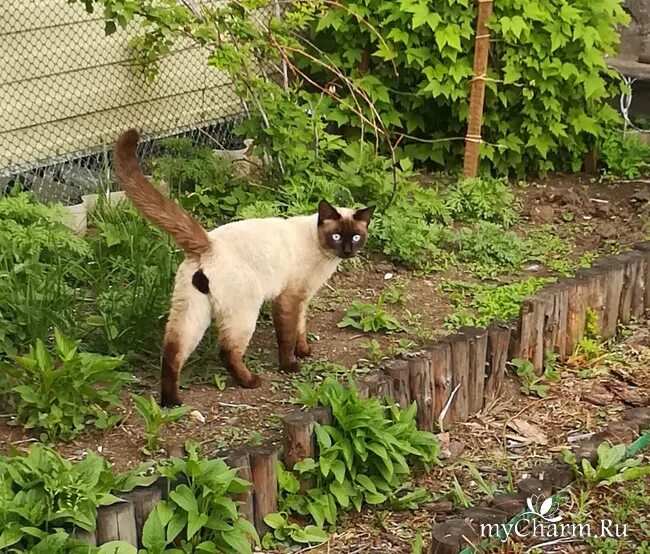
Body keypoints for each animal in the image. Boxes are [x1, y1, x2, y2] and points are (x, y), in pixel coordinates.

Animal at [114, 129, 372, 406]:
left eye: (356, 237)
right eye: (336, 236)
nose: (347, 250)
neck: (322, 253)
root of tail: (208, 242)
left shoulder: (303, 298)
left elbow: (301, 328)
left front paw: (304, 351)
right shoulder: (288, 298)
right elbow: (287, 335)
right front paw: (290, 365)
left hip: (192, 311)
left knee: (172, 352)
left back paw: (171, 402)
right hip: (245, 312)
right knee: (227, 351)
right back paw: (250, 382)